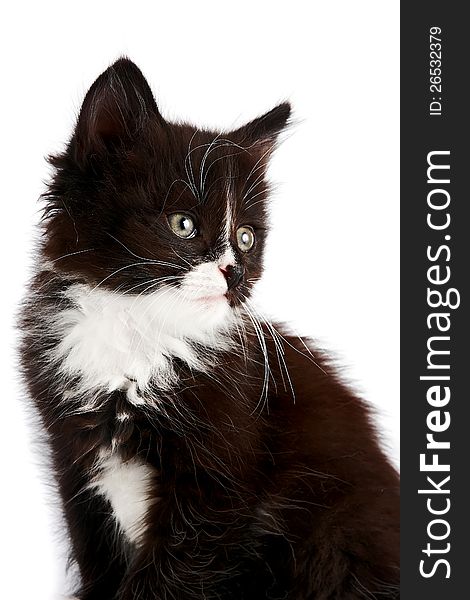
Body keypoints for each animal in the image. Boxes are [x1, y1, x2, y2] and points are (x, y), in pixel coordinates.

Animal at [19, 57, 400, 600]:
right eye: (183, 224)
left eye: (245, 237)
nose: (234, 273)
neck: (139, 339)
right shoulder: (74, 467)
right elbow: (101, 563)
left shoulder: (218, 489)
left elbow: (167, 577)